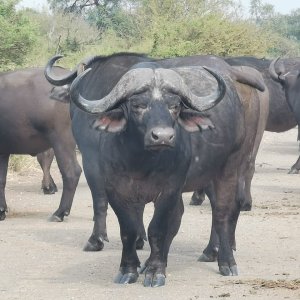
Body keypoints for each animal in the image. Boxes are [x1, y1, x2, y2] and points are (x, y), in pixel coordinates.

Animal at [0, 67, 81, 220]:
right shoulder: (3, 151)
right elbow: (1, 180)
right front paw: (2, 210)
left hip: (62, 140)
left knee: (71, 172)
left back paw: (59, 212)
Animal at [45, 53, 268, 286]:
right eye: (137, 105)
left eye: (175, 106)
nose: (163, 136)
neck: (141, 162)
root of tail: (232, 74)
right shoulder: (116, 188)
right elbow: (129, 228)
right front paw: (129, 268)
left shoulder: (165, 189)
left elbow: (156, 227)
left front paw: (154, 270)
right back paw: (208, 252)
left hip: (229, 168)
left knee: (223, 211)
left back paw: (226, 260)